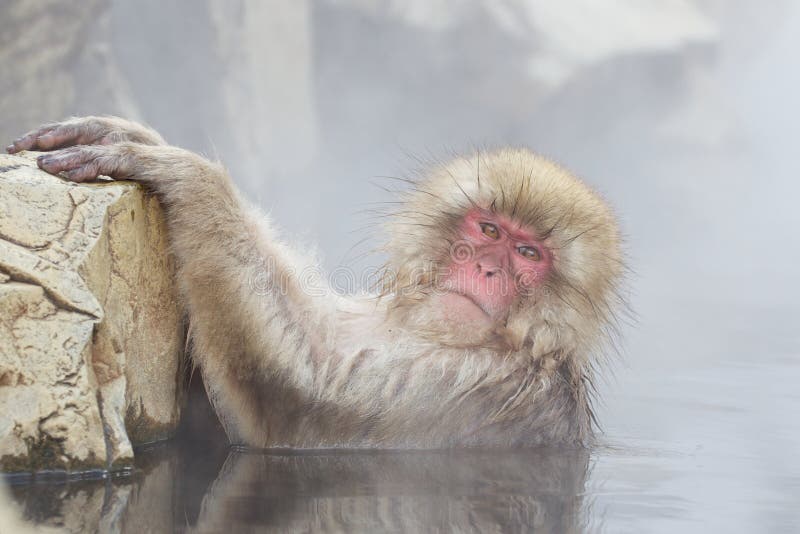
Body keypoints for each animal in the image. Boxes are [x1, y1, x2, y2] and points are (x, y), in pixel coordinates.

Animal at [7, 116, 624, 448]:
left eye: (528, 253)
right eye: (489, 228)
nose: (489, 268)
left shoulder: (486, 388)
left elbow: (295, 401)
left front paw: (189, 176)